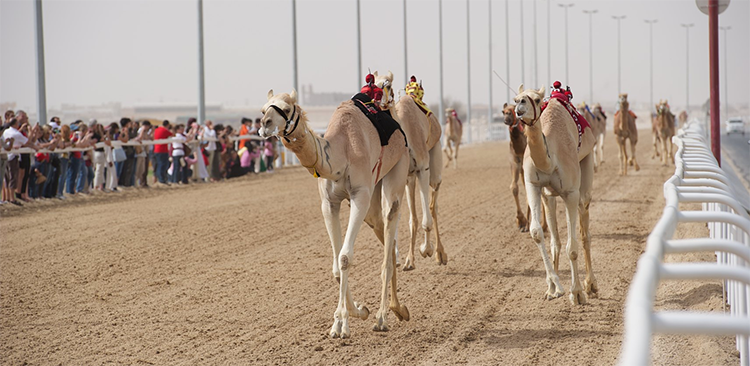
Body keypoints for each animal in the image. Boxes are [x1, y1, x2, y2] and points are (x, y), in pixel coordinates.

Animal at [258, 88, 412, 338]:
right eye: (263, 109)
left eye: (288, 108)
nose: (265, 124)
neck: (341, 153)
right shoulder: (328, 203)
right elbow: (336, 266)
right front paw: (358, 310)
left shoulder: (360, 195)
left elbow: (345, 257)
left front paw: (341, 324)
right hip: (373, 198)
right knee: (385, 236)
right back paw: (398, 309)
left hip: (398, 168)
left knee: (391, 221)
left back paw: (382, 317)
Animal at [374, 72, 450, 272]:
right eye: (371, 82)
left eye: (387, 84)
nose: (377, 100)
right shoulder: (401, 176)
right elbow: (404, 218)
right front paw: (404, 260)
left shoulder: (423, 168)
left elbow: (426, 220)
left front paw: (426, 250)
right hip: (409, 179)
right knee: (414, 216)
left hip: (434, 163)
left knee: (433, 206)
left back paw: (440, 254)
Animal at [516, 84, 600, 304]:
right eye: (515, 98)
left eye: (537, 100)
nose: (520, 106)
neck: (550, 159)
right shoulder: (533, 185)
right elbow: (537, 232)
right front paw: (554, 287)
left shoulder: (570, 192)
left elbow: (573, 247)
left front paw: (576, 293)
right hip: (549, 196)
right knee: (555, 238)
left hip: (585, 169)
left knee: (585, 231)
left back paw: (591, 285)